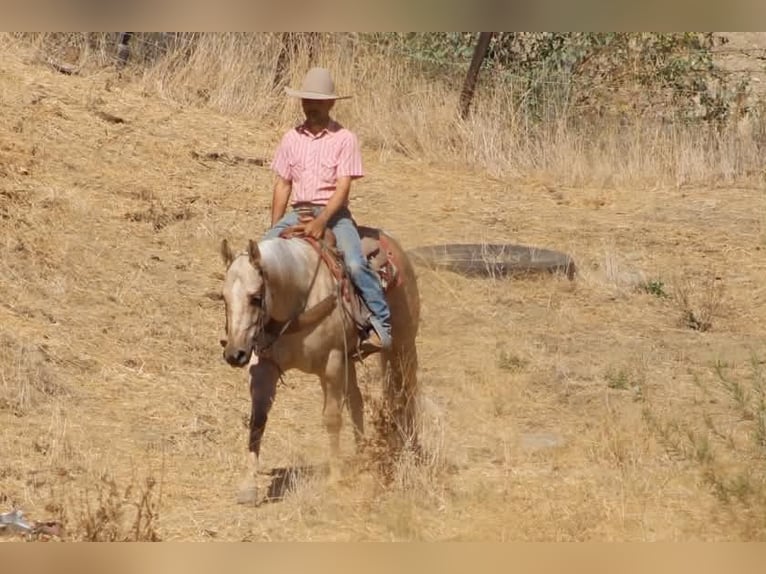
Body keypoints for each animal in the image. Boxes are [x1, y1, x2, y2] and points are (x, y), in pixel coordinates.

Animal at [219, 227, 421, 504]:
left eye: (256, 298)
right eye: (224, 298)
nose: (234, 354)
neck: (298, 297)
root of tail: (395, 249)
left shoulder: (332, 363)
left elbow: (332, 418)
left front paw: (335, 479)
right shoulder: (264, 365)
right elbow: (257, 420)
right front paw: (248, 486)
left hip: (403, 345)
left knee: (407, 394)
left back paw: (410, 448)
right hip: (350, 359)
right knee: (357, 401)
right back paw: (362, 456)